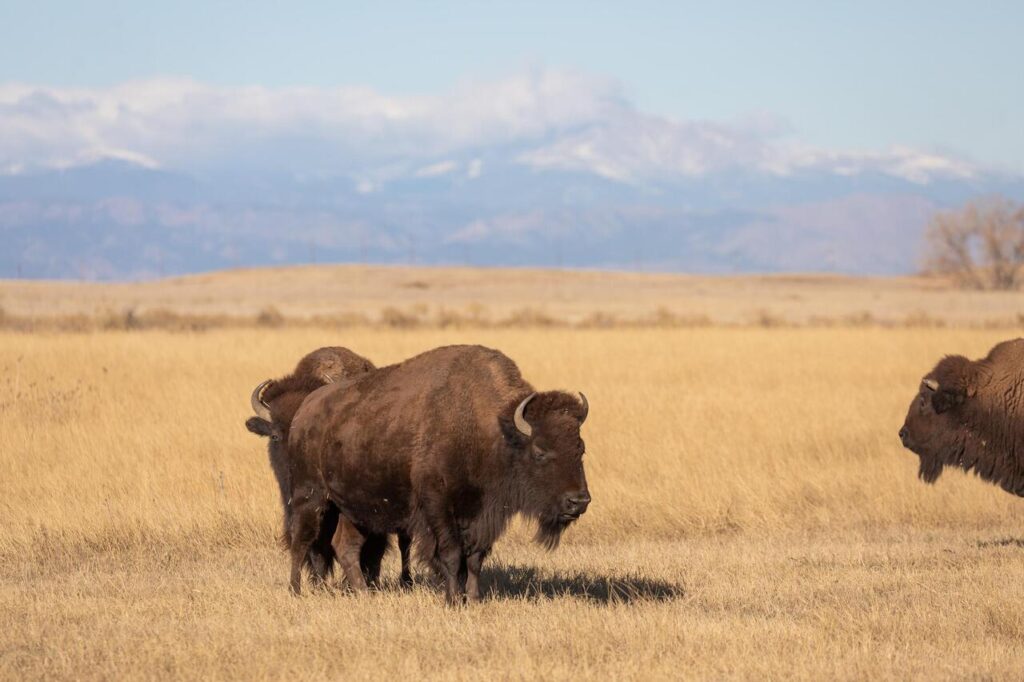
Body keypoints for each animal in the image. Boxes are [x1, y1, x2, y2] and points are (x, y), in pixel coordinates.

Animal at [286, 344, 591, 603]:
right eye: (540, 451)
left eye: (581, 448)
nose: (578, 501)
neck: (490, 430)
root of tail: (304, 411)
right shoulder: (438, 508)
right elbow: (452, 555)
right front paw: (453, 600)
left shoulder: (482, 516)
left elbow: (475, 559)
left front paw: (474, 599)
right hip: (310, 497)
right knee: (300, 541)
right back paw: (296, 591)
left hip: (354, 510)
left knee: (346, 546)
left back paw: (363, 593)